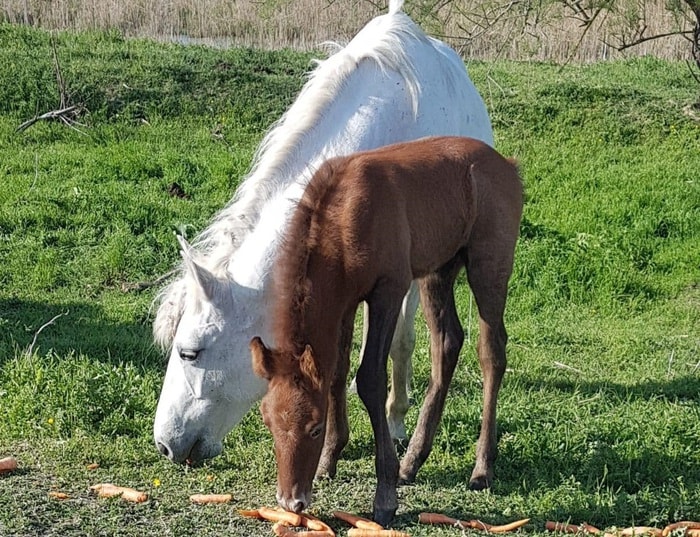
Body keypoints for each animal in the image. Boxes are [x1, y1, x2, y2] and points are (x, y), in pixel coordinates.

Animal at [251, 136, 523, 526]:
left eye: (314, 427)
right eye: (269, 423)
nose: (292, 501)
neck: (343, 221)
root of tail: (509, 167)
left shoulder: (388, 290)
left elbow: (370, 379)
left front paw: (385, 495)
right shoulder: (346, 301)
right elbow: (336, 372)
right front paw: (330, 460)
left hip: (489, 265)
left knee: (492, 352)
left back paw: (481, 467)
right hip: (438, 270)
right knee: (447, 343)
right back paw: (413, 461)